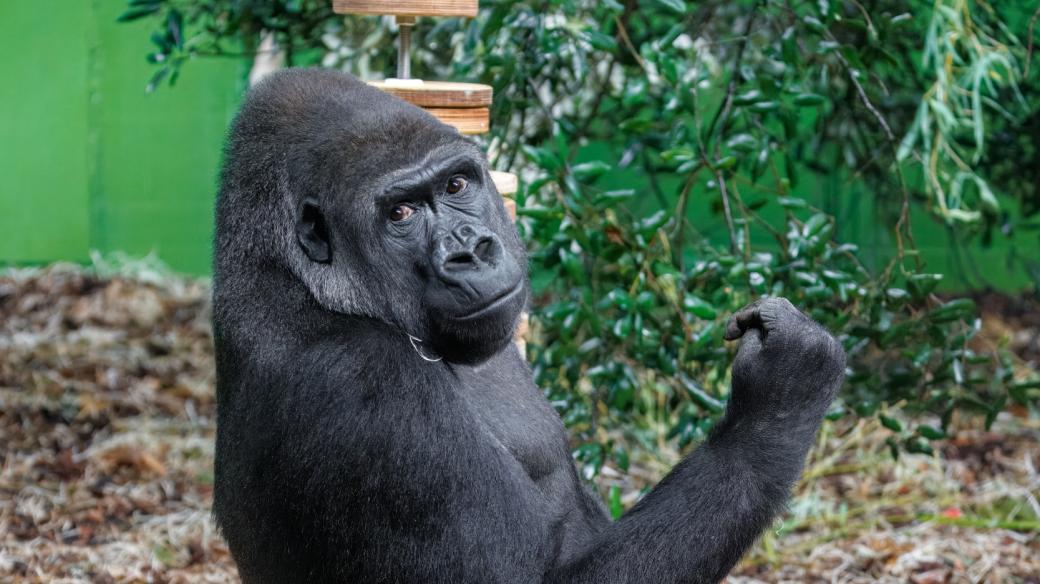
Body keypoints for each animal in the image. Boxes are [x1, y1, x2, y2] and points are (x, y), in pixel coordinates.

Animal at [209, 69, 844, 581]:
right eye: (401, 213)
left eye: (457, 185)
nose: (471, 250)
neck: (295, 281)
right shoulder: (367, 388)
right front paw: (779, 399)